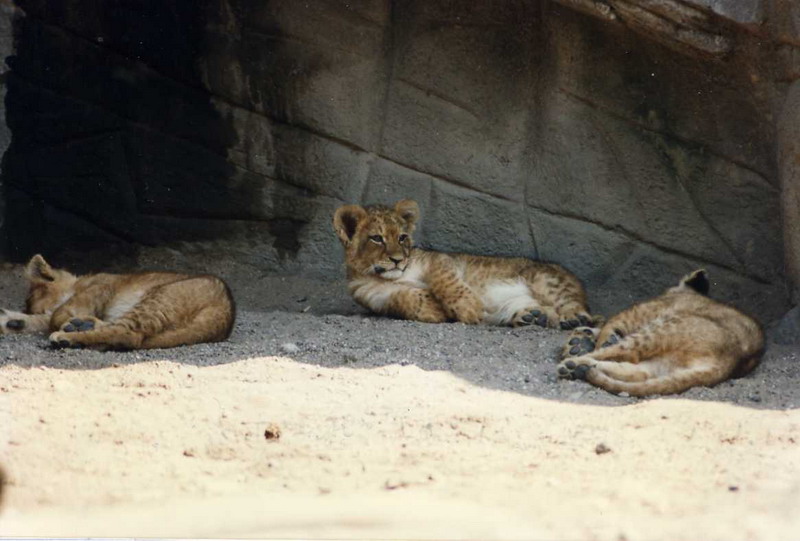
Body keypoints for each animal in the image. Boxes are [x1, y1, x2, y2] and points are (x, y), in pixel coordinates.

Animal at [0, 255, 235, 350]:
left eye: (32, 299)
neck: (78, 283)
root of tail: (224, 314)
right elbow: (44, 319)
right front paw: (12, 321)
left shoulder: (101, 288)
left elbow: (55, 317)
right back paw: (82, 326)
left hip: (162, 296)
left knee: (127, 334)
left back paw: (69, 335)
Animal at [333, 199, 595, 328]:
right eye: (377, 238)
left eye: (402, 237)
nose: (398, 260)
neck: (387, 276)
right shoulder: (374, 298)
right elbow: (404, 300)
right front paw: (434, 309)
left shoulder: (440, 259)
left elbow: (444, 281)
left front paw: (468, 307)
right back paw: (533, 316)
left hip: (545, 279)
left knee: (575, 305)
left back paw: (574, 318)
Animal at [557, 269, 764, 396]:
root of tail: (728, 362)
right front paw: (581, 338)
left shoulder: (639, 312)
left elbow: (610, 324)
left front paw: (592, 338)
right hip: (664, 363)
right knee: (637, 373)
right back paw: (578, 367)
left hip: (662, 329)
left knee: (625, 352)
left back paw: (575, 362)